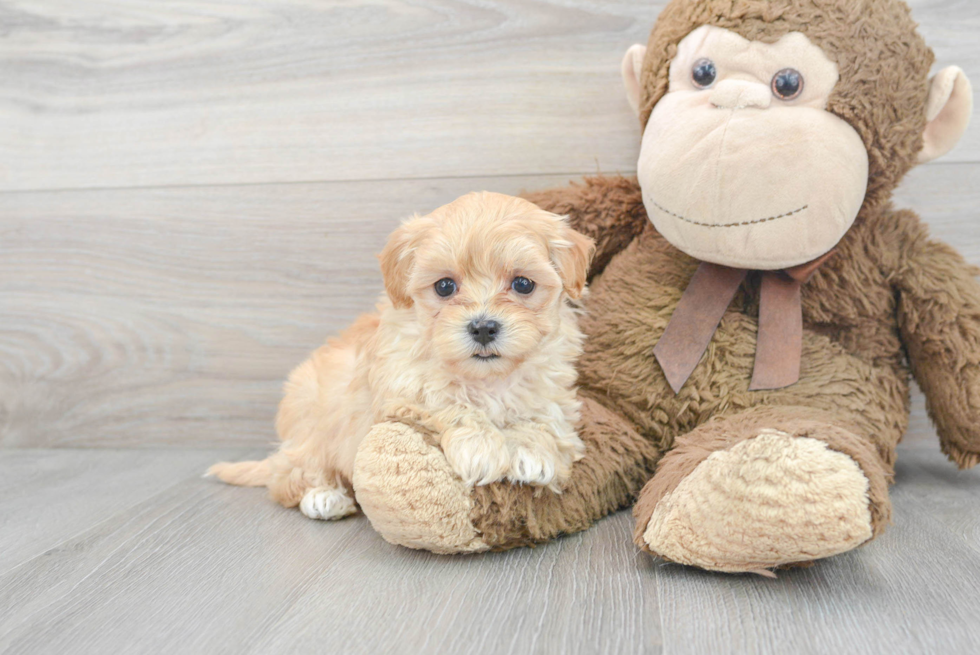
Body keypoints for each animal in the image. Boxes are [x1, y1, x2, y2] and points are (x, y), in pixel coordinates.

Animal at [210, 192, 592, 520]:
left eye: (523, 284)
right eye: (444, 286)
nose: (483, 328)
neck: (486, 380)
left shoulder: (551, 387)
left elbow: (544, 416)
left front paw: (533, 452)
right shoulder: (402, 388)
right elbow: (448, 403)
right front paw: (482, 447)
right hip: (311, 422)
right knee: (287, 476)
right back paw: (323, 497)